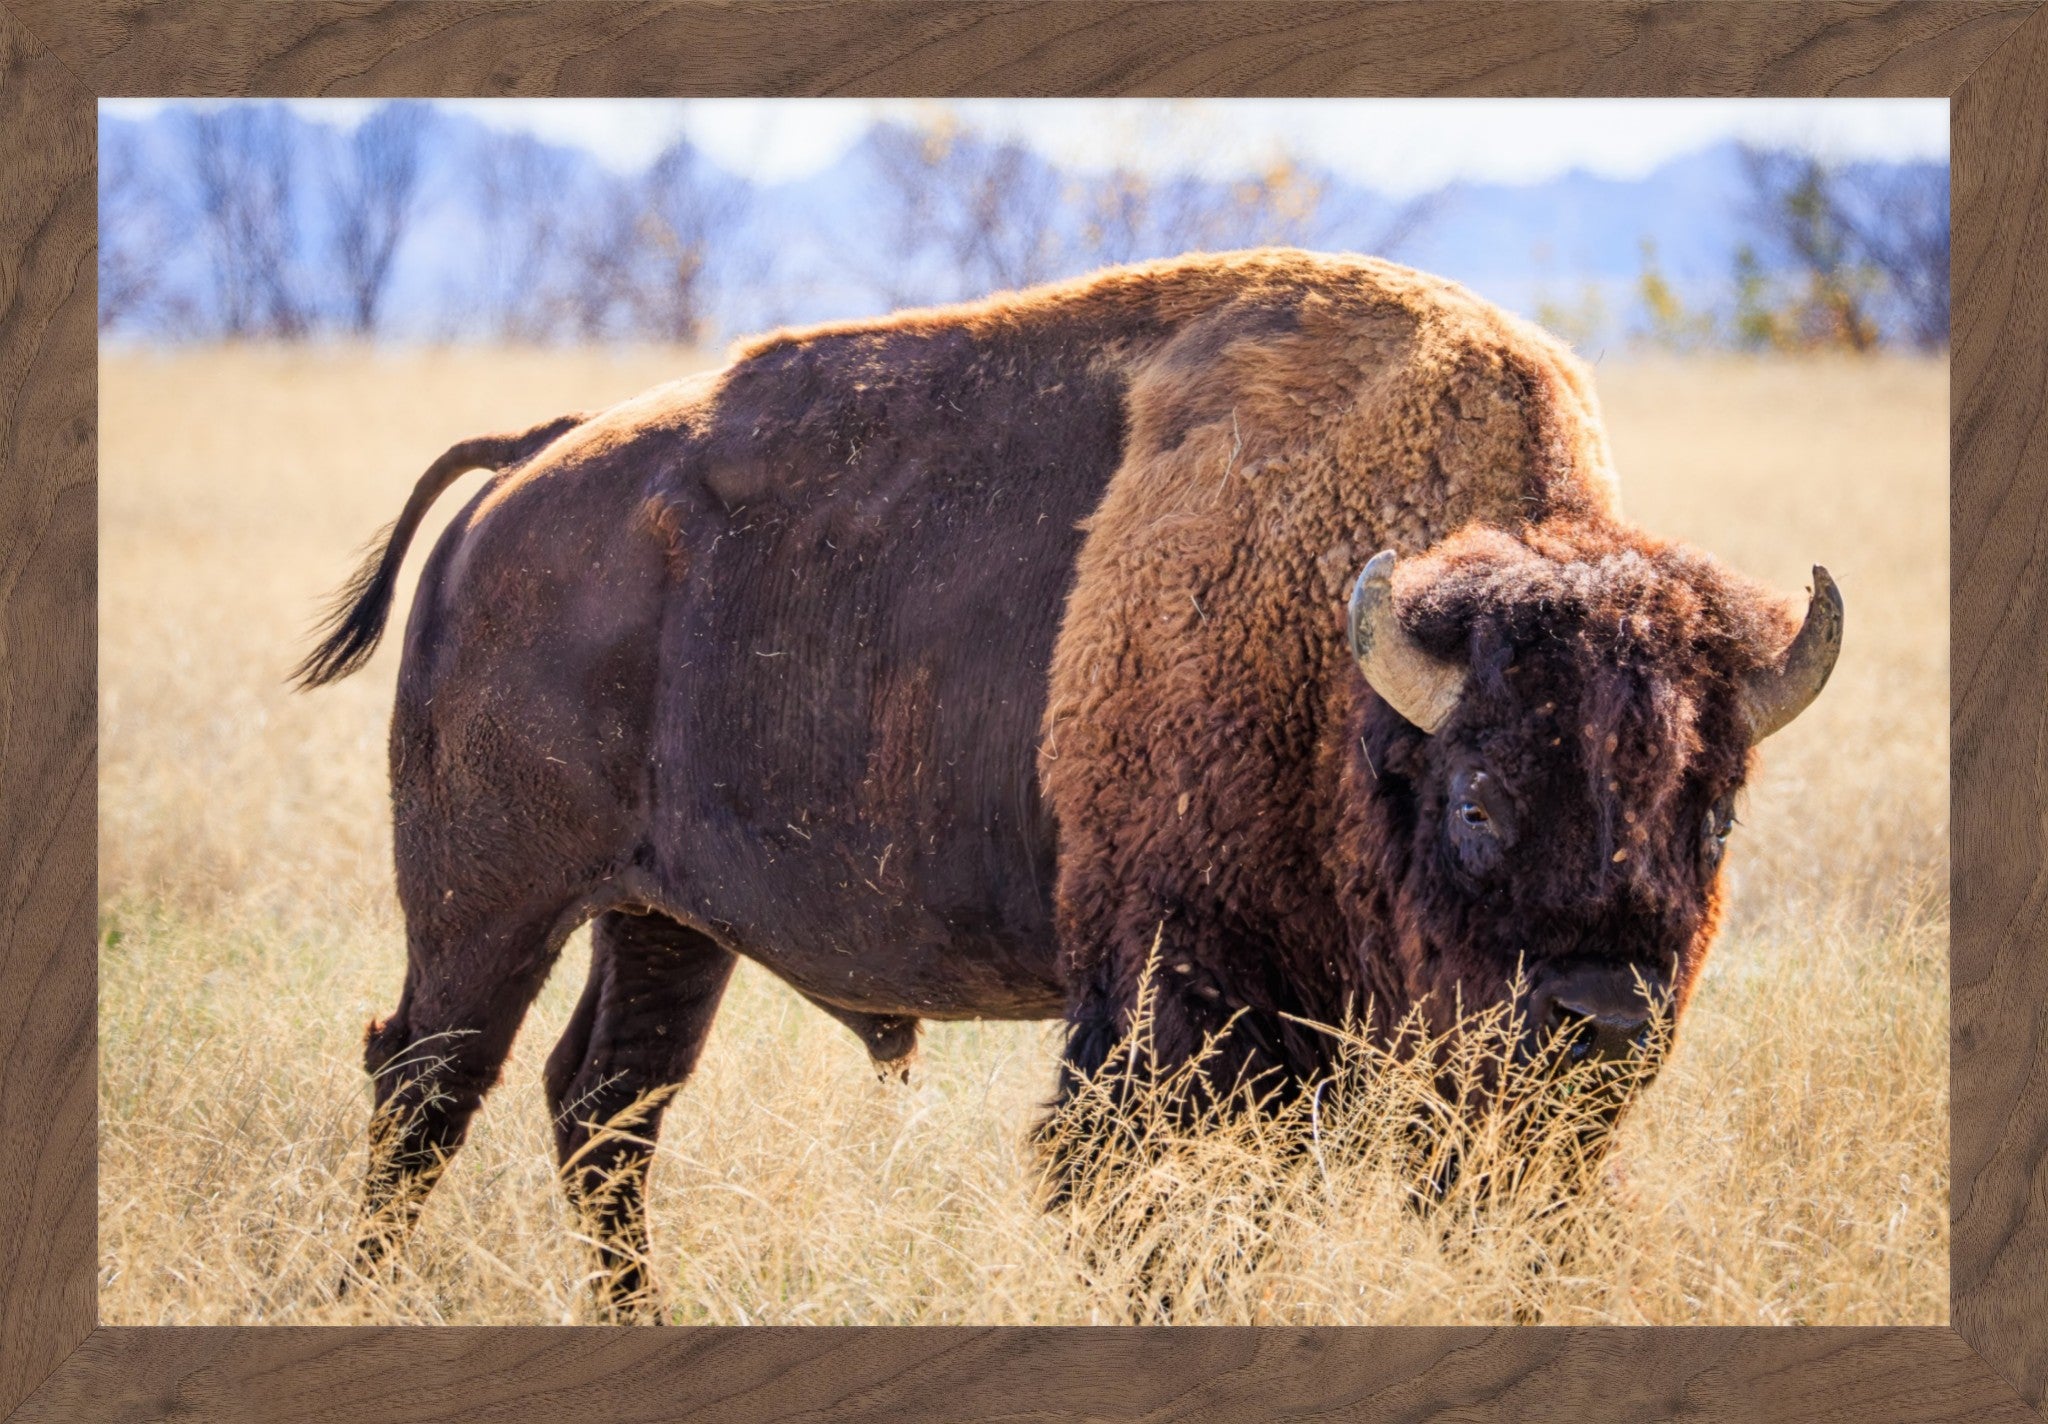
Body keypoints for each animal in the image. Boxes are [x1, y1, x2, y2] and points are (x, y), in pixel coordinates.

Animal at [298, 250, 1839, 1314]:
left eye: (1712, 812)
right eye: (1475, 802)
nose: (1603, 1018)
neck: (1340, 667)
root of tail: (527, 468)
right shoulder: (1173, 1014)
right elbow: (1149, 1207)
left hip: (663, 920)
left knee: (604, 1106)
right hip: (487, 902)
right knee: (427, 1085)